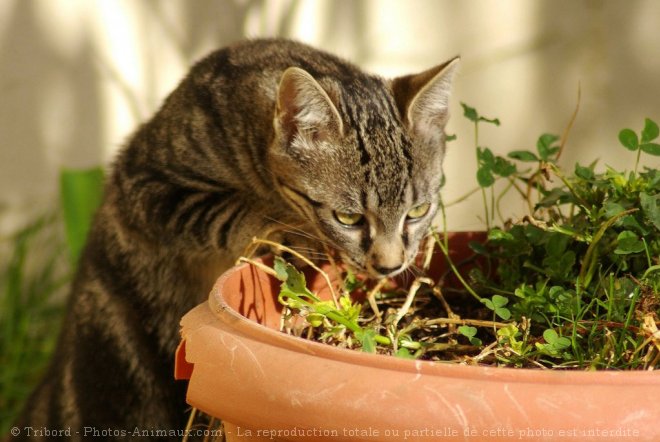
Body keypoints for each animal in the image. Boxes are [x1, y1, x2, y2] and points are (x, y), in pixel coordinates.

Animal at [14, 39, 458, 440]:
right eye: (348, 217)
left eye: (417, 211)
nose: (390, 264)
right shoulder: (148, 187)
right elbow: (231, 210)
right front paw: (288, 229)